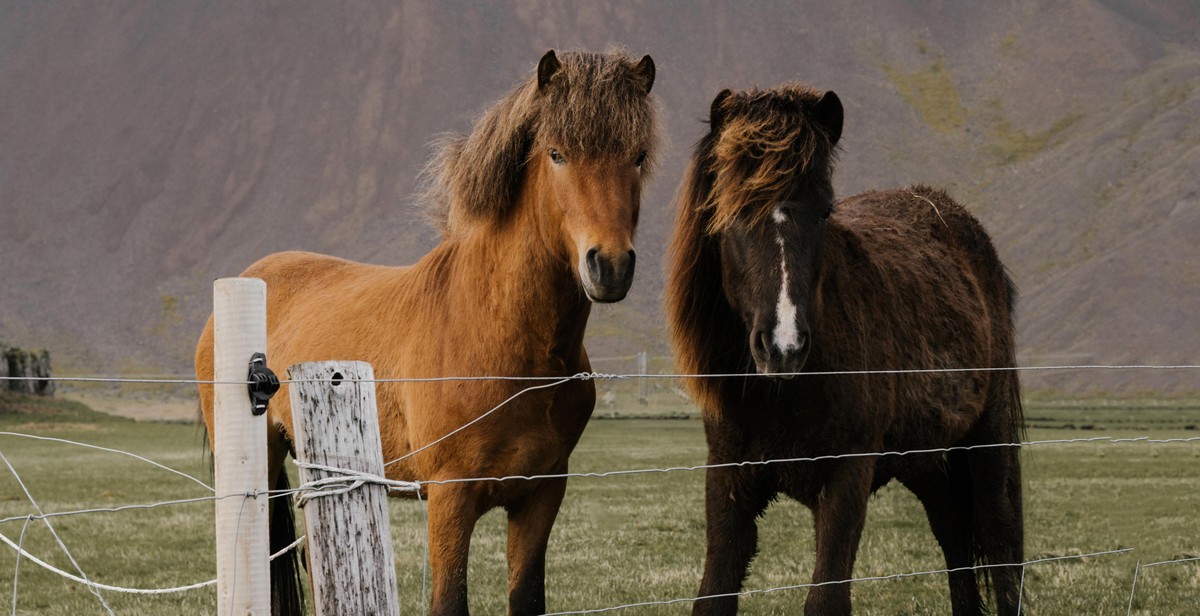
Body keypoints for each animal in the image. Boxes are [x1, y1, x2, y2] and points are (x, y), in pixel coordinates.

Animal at [200, 49, 662, 614]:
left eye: (638, 156)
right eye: (557, 153)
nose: (610, 266)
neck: (500, 339)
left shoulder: (541, 494)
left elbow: (526, 596)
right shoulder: (450, 498)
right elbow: (449, 600)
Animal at [667, 84, 1022, 612]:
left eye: (825, 211)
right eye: (733, 210)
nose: (784, 346)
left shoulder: (847, 477)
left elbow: (827, 599)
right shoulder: (728, 479)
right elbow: (714, 594)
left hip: (987, 441)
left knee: (1000, 548)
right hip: (927, 460)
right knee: (955, 543)